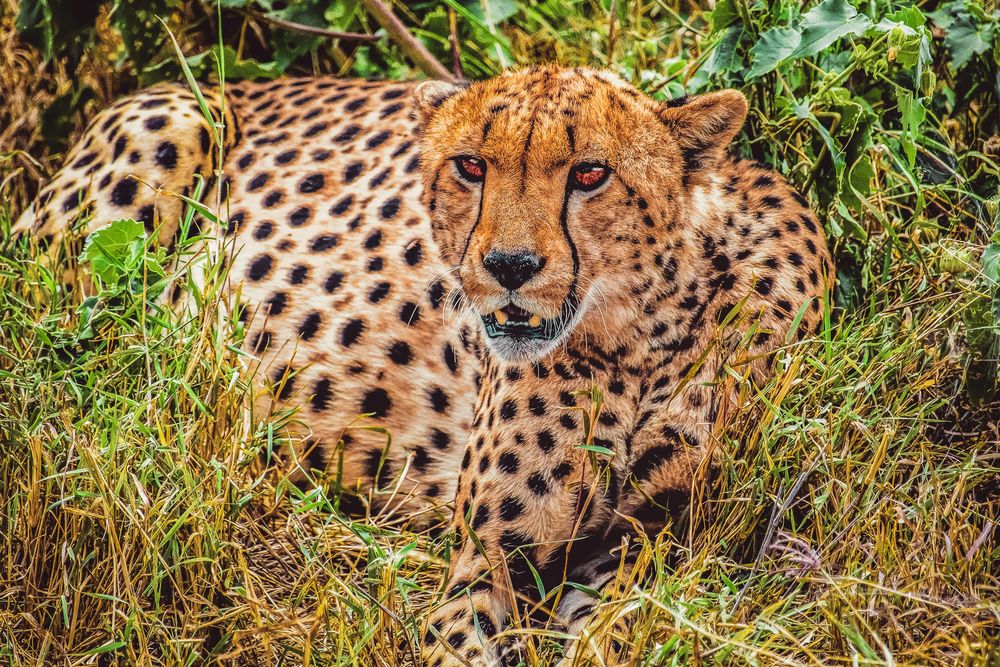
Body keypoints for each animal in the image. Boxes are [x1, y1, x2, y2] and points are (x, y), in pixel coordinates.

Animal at [15, 65, 832, 666]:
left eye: (590, 175)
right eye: (470, 167)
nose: (509, 266)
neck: (634, 337)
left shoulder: (649, 545)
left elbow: (611, 633)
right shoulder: (489, 556)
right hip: (167, 133)